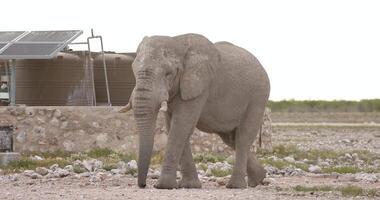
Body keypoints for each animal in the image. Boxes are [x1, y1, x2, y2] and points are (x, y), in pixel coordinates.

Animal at [122, 34, 270, 189]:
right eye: (133, 70)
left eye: (168, 74)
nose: (143, 185)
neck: (178, 42)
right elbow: (173, 126)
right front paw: (189, 185)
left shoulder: (200, 85)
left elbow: (181, 125)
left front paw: (163, 186)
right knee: (231, 139)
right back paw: (259, 178)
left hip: (258, 97)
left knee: (242, 138)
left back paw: (236, 186)